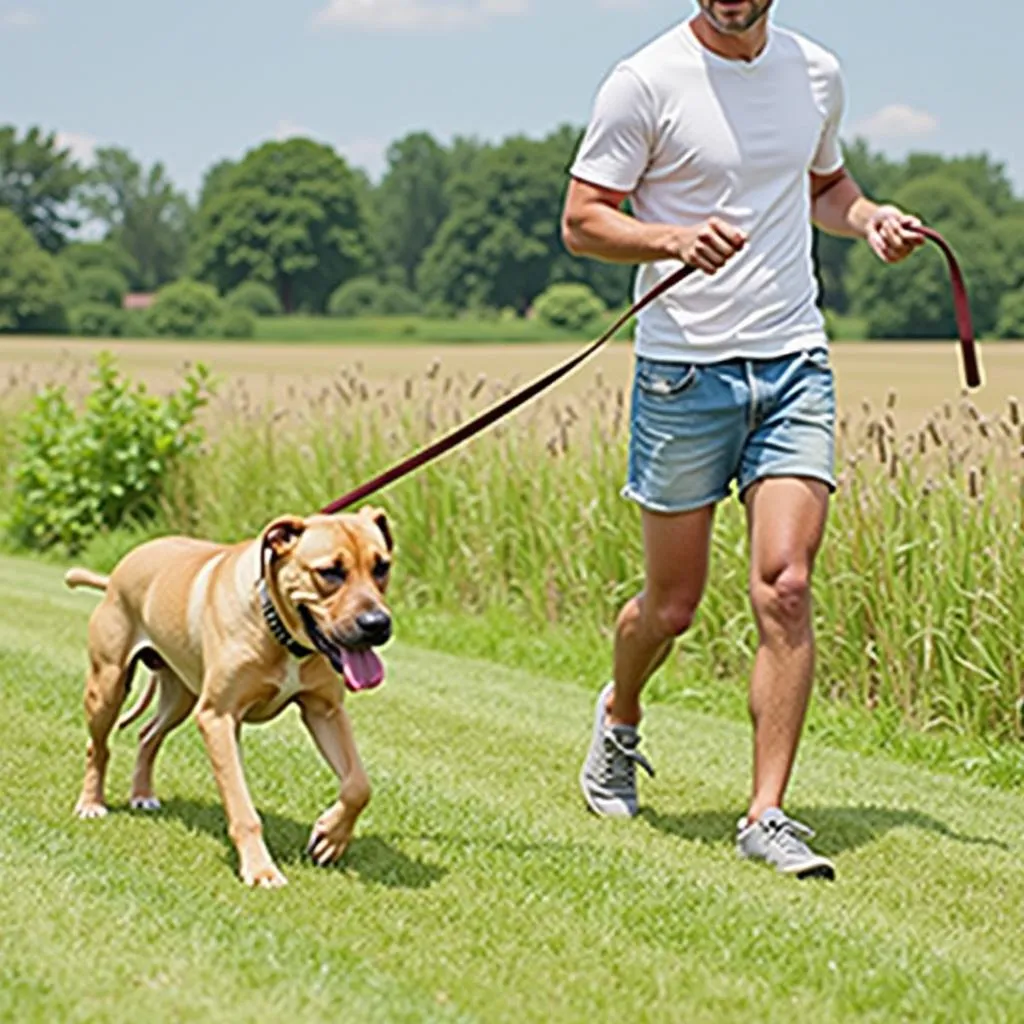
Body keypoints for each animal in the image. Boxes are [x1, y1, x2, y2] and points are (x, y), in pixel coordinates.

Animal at [62, 509, 391, 888]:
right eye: (330, 572)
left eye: (382, 567)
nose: (377, 623)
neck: (278, 629)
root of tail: (118, 571)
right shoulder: (218, 717)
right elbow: (242, 808)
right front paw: (261, 869)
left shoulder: (326, 711)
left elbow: (359, 785)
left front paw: (330, 837)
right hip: (108, 686)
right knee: (98, 747)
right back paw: (91, 803)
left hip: (181, 695)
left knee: (148, 734)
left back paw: (142, 795)